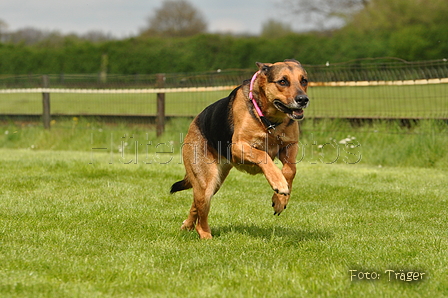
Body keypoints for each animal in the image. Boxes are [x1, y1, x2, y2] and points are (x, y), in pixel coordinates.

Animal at [171, 59, 308, 239]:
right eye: (283, 81)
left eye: (304, 81)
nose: (303, 99)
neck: (269, 119)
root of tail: (194, 123)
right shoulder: (238, 147)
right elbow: (262, 155)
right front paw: (279, 183)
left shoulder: (290, 146)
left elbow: (291, 169)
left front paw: (280, 199)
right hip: (206, 182)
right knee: (201, 217)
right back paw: (206, 236)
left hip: (213, 183)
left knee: (196, 206)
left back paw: (186, 226)